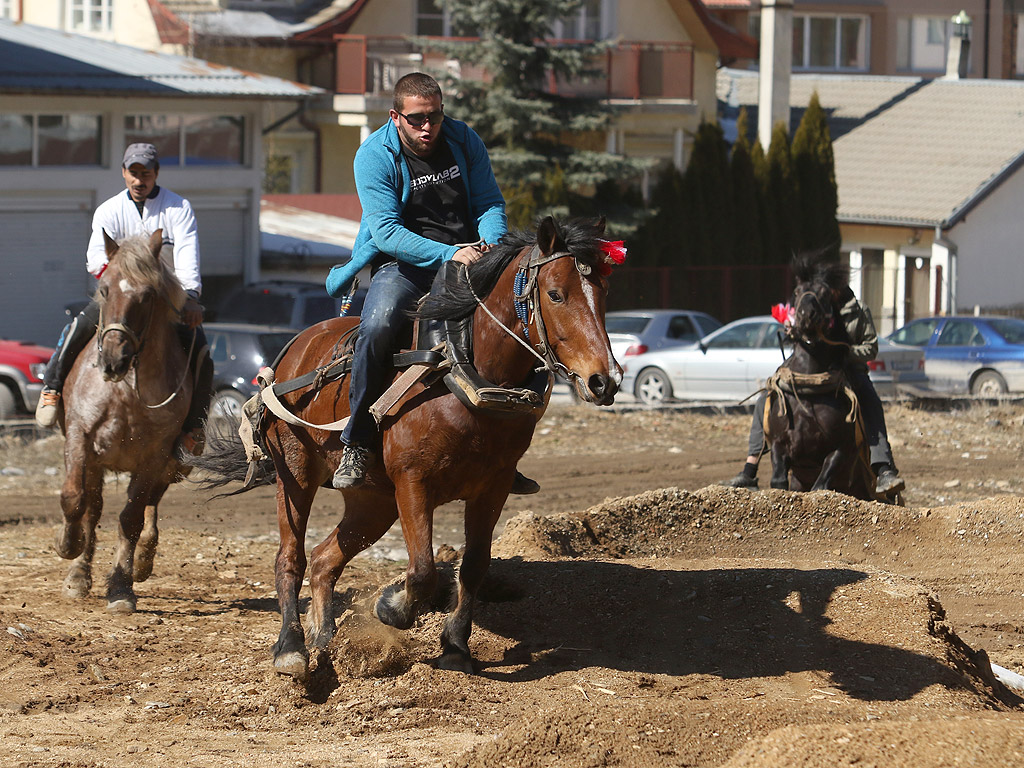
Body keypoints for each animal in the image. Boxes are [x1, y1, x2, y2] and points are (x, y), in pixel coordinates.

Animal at [54, 228, 193, 614]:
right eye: (104, 289)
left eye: (147, 296)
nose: (113, 360)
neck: (125, 392)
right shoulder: (80, 437)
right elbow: (74, 499)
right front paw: (69, 546)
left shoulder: (155, 455)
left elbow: (131, 517)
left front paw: (120, 586)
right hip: (96, 463)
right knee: (93, 507)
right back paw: (78, 573)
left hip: (168, 466)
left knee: (148, 508)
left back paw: (142, 560)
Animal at [197, 215, 614, 679]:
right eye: (556, 293)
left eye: (603, 293)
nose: (604, 380)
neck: (461, 369)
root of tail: (291, 354)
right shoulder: (414, 483)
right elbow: (423, 570)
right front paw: (391, 608)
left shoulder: (494, 487)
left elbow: (474, 565)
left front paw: (456, 646)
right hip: (296, 476)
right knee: (290, 559)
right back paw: (292, 647)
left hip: (373, 502)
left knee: (324, 561)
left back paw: (325, 637)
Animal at [765, 256, 876, 501]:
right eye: (797, 291)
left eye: (825, 293)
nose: (807, 314)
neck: (809, 388)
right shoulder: (779, 443)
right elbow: (778, 480)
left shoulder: (840, 449)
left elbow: (821, 485)